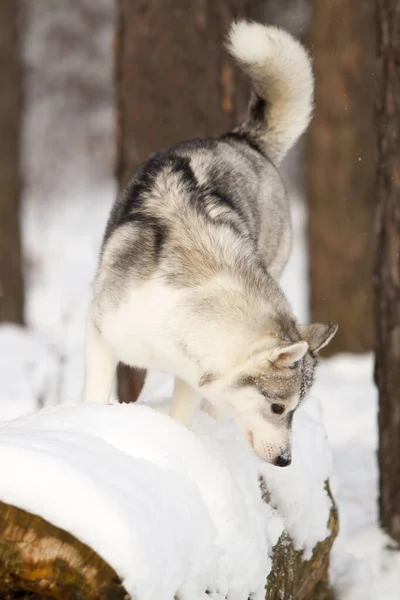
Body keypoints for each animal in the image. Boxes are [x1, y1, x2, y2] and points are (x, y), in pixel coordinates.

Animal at [83, 21, 338, 464]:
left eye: (295, 411)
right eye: (278, 408)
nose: (285, 461)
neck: (175, 310)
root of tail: (240, 141)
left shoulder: (192, 375)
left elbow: (183, 418)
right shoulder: (100, 333)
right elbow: (94, 397)